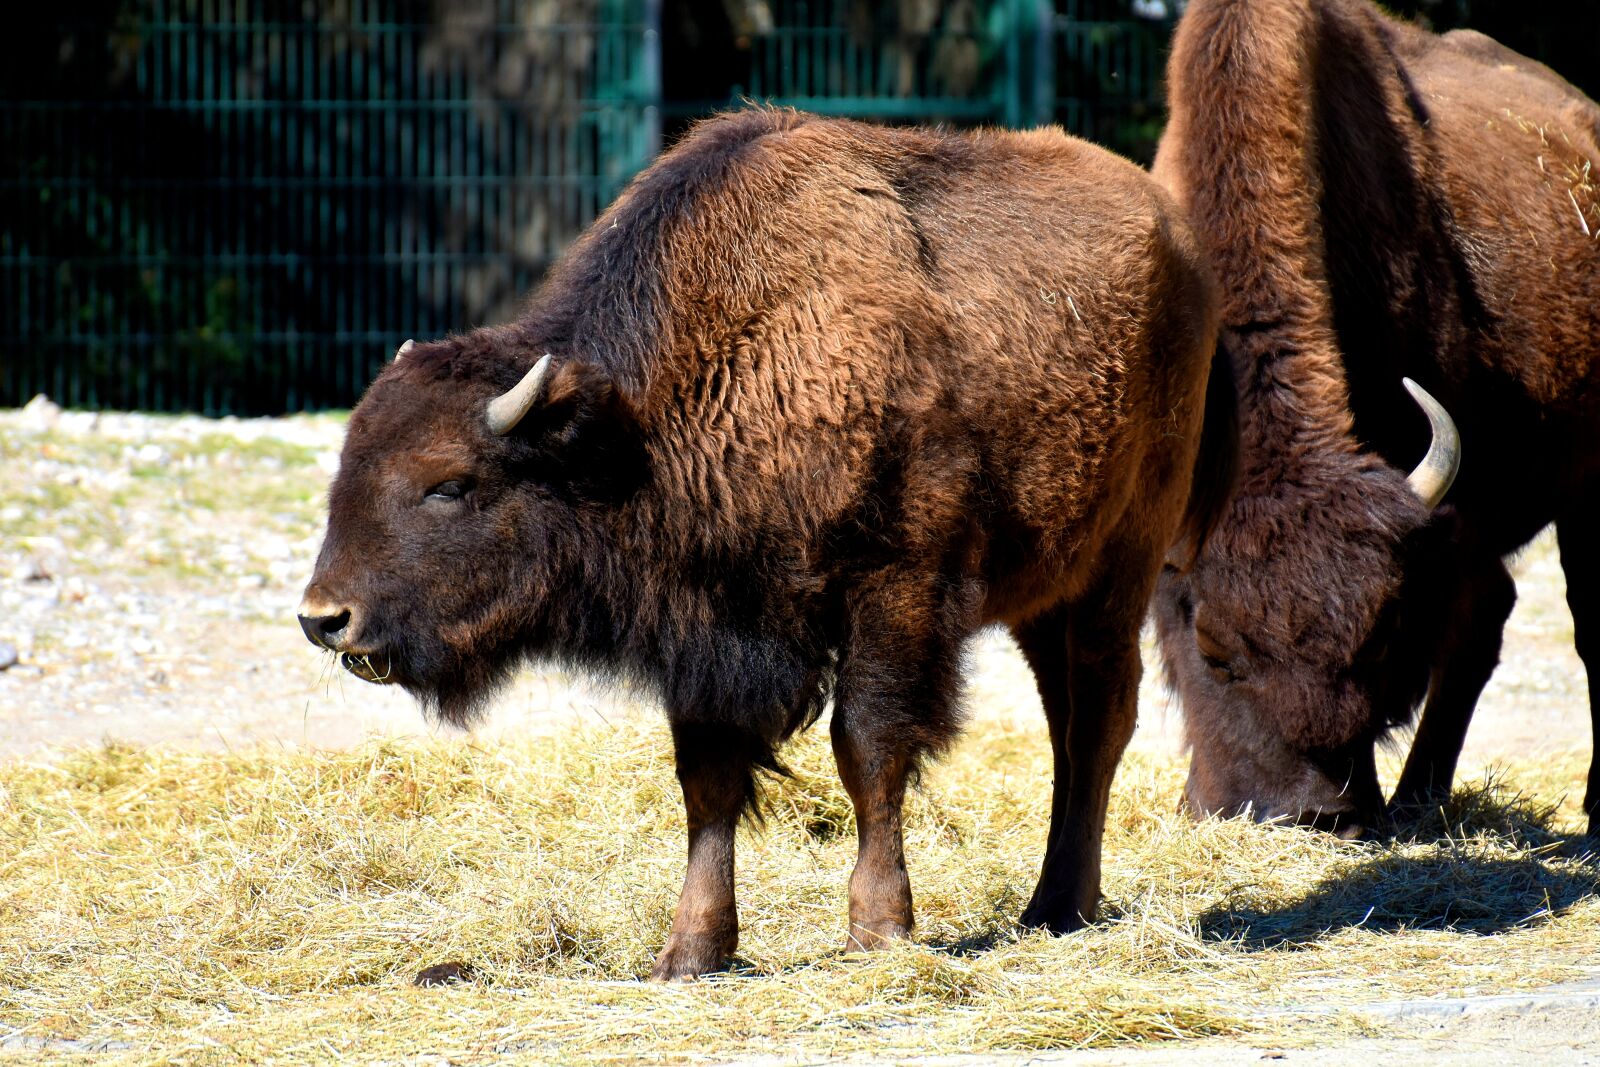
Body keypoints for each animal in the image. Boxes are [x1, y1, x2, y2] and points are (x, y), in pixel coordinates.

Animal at [299, 108, 1235, 978]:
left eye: (450, 483)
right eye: (350, 458)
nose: (324, 617)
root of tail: (1178, 235)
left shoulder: (892, 589)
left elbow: (868, 748)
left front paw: (879, 928)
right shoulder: (704, 633)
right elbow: (708, 779)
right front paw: (692, 950)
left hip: (1118, 569)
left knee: (1100, 719)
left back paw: (1061, 905)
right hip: (1044, 594)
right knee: (1066, 725)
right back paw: (1050, 906)